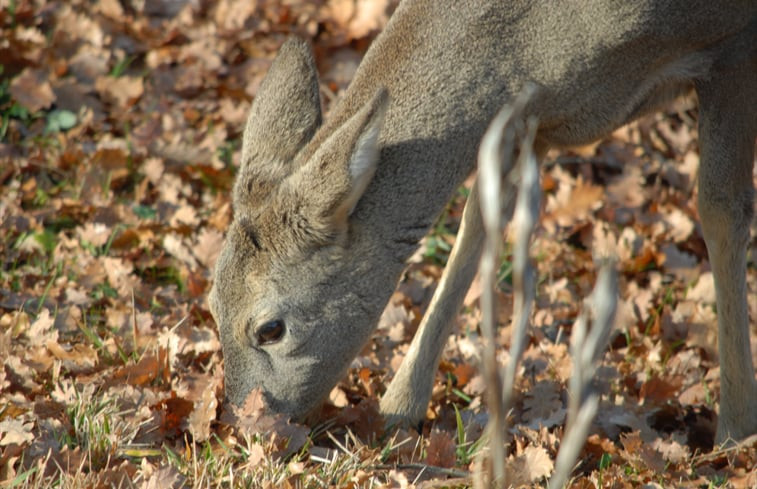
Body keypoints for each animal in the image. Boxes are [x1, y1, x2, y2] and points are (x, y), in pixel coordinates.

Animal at [210, 0, 756, 442]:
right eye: (212, 305)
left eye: (270, 329)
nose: (249, 426)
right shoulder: (527, 124)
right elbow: (479, 228)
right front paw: (398, 408)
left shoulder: (733, 44)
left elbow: (721, 208)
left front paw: (734, 429)